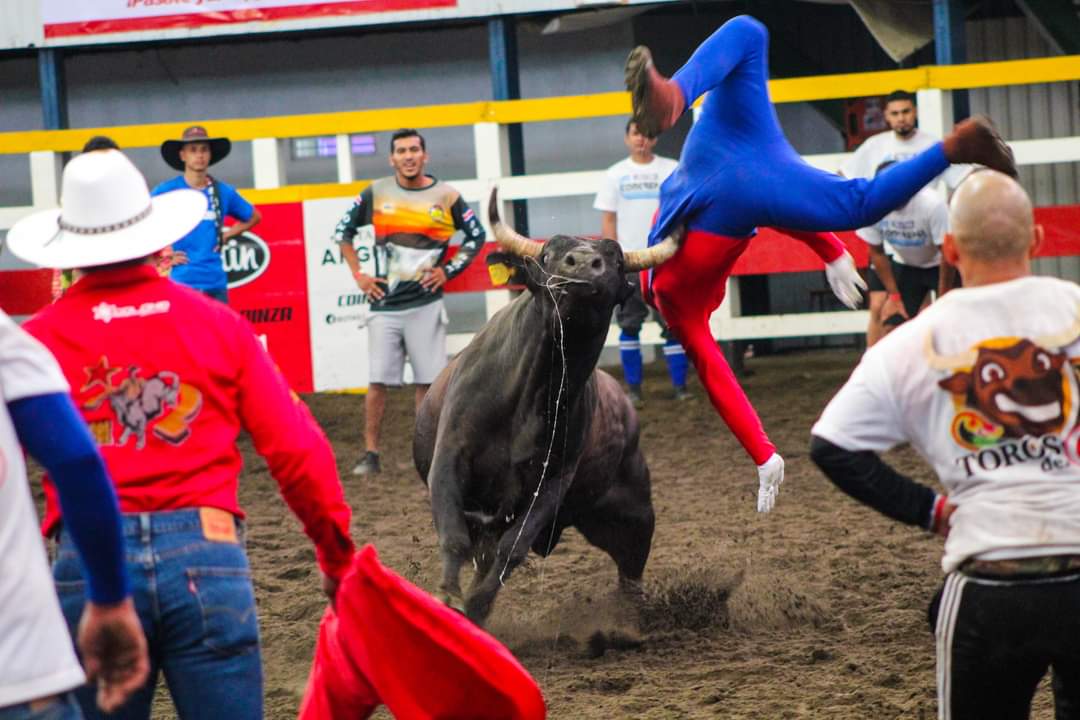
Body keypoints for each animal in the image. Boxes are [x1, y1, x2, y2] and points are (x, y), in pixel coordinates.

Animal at [414, 188, 678, 621]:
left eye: (617, 259)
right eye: (548, 253)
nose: (584, 265)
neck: (533, 392)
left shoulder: (551, 485)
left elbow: (512, 549)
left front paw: (476, 607)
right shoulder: (449, 459)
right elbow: (454, 537)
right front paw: (448, 600)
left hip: (635, 515)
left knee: (630, 572)